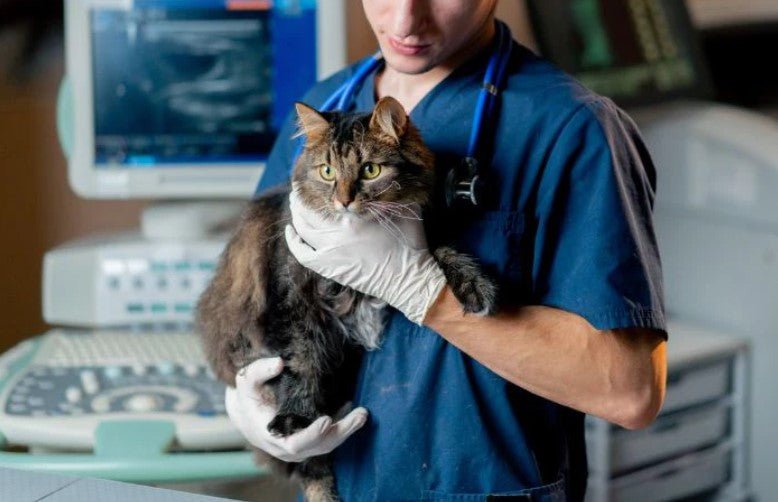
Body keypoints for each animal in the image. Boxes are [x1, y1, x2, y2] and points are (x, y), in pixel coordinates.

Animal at [197, 95, 494, 502]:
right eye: (326, 171)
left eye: (370, 170)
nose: (343, 201)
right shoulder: (294, 303)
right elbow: (302, 363)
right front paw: (297, 419)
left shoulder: (418, 241)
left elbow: (442, 253)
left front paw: (474, 284)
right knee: (311, 464)